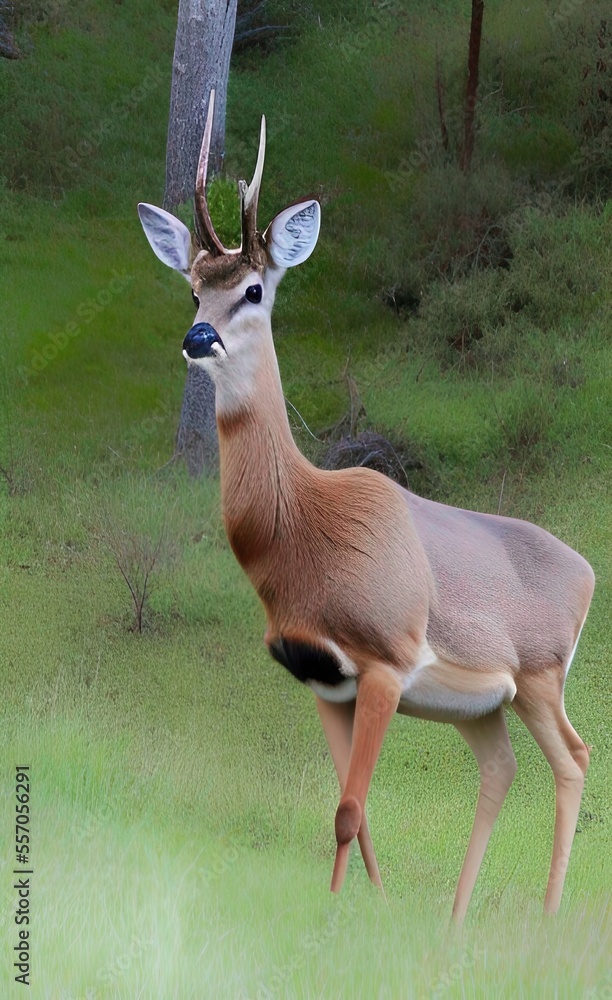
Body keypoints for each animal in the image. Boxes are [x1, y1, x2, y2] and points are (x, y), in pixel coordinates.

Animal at [137, 92, 595, 921]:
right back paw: (454, 918)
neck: (300, 536)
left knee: (573, 757)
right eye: (192, 287)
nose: (198, 336)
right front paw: (367, 908)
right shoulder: (320, 674)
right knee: (503, 768)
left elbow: (350, 809)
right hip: (484, 702)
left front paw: (333, 914)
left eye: (254, 289)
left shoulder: (386, 654)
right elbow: (359, 809)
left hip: (543, 670)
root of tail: (589, 573)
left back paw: (544, 915)